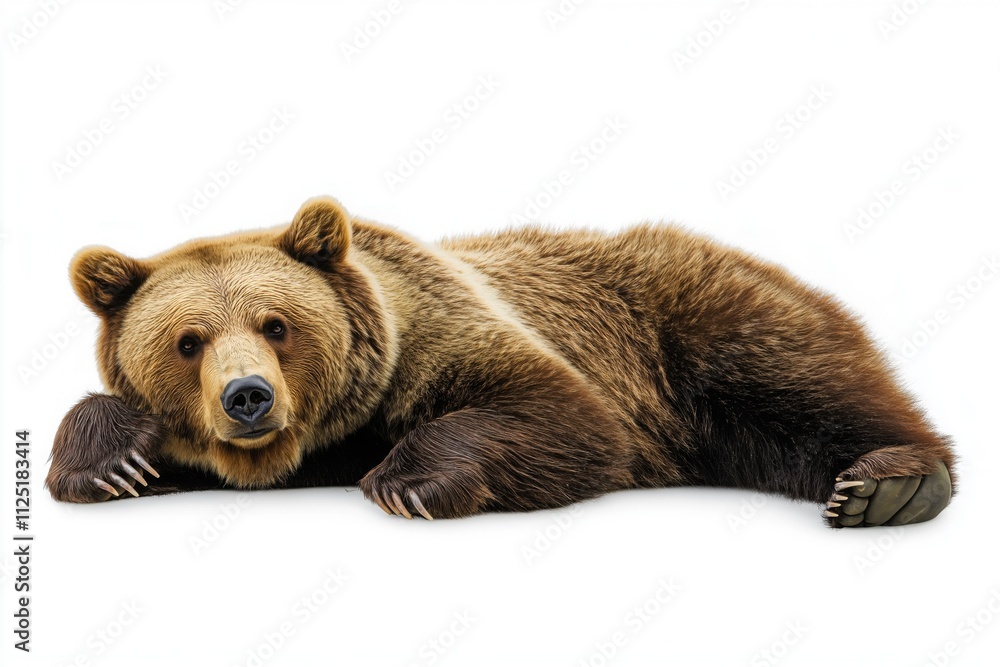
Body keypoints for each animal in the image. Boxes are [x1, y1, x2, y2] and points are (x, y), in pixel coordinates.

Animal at [45, 196, 956, 527]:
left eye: (278, 324)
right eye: (187, 339)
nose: (247, 397)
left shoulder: (448, 330)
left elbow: (562, 414)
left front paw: (409, 480)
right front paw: (110, 461)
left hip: (693, 319)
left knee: (808, 386)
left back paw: (889, 483)